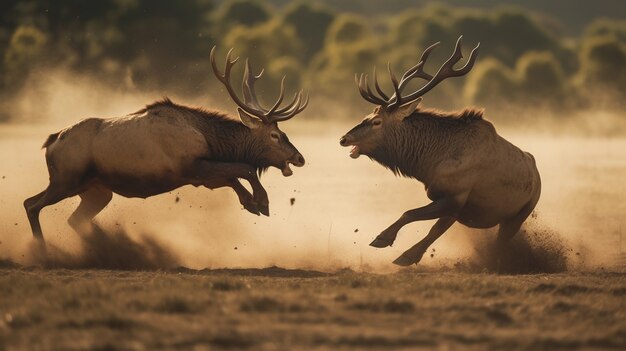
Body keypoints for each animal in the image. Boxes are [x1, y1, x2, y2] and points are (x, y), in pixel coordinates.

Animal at [24, 46, 308, 245]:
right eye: (275, 135)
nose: (300, 158)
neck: (211, 140)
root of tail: (51, 143)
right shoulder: (190, 166)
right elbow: (243, 169)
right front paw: (262, 202)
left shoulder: (202, 176)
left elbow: (234, 176)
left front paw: (251, 203)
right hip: (66, 179)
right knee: (31, 205)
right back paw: (43, 250)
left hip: (96, 190)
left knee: (71, 218)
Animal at [338, 36, 540, 266]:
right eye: (367, 116)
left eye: (377, 121)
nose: (344, 138)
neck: (427, 164)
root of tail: (536, 173)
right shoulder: (450, 201)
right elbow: (432, 226)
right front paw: (399, 249)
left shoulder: (456, 196)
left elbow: (410, 214)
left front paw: (382, 238)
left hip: (522, 212)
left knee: (500, 239)